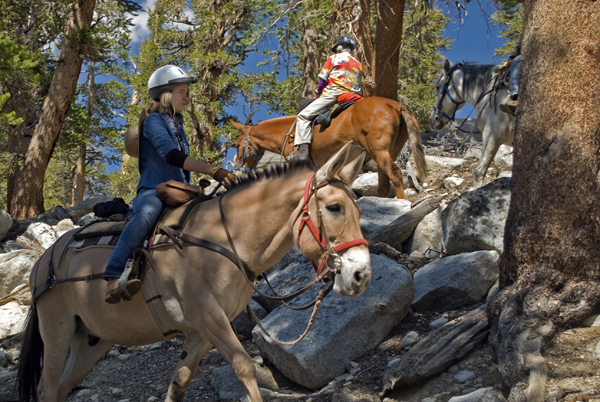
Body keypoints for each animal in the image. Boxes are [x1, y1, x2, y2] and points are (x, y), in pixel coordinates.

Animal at [17, 143, 370, 400]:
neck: (224, 239)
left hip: (92, 342)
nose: (361, 275)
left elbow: (178, 385)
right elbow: (245, 368)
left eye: (358, 208)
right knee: (47, 388)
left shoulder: (201, 333)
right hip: (57, 330)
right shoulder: (209, 317)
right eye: (334, 208)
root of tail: (42, 262)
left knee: (61, 388)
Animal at [232, 97, 428, 198]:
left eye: (237, 145)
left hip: (379, 151)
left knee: (395, 174)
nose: (241, 166)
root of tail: (398, 106)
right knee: (384, 185)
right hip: (387, 152)